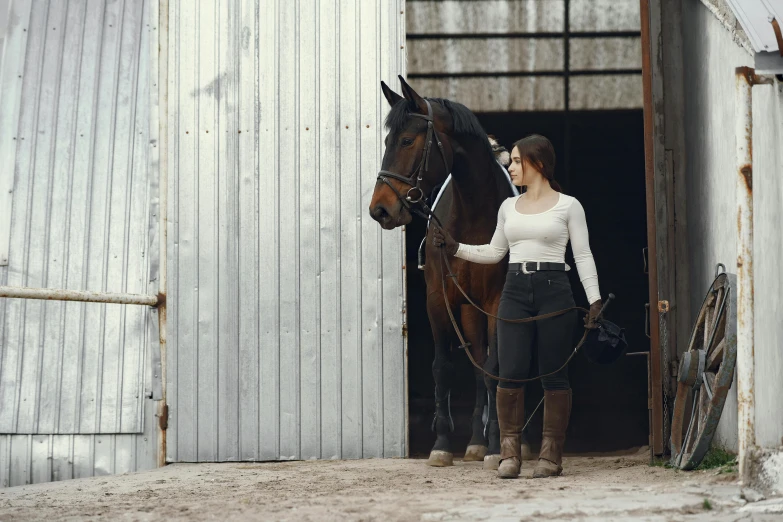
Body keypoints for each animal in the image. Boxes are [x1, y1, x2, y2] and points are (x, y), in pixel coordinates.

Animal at [372, 75, 524, 466]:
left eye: (407, 140)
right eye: (387, 141)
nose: (379, 210)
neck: (472, 215)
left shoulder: (496, 302)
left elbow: (494, 368)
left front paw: (497, 447)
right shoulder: (438, 300)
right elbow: (443, 368)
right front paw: (441, 445)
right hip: (467, 310)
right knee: (476, 362)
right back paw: (474, 442)